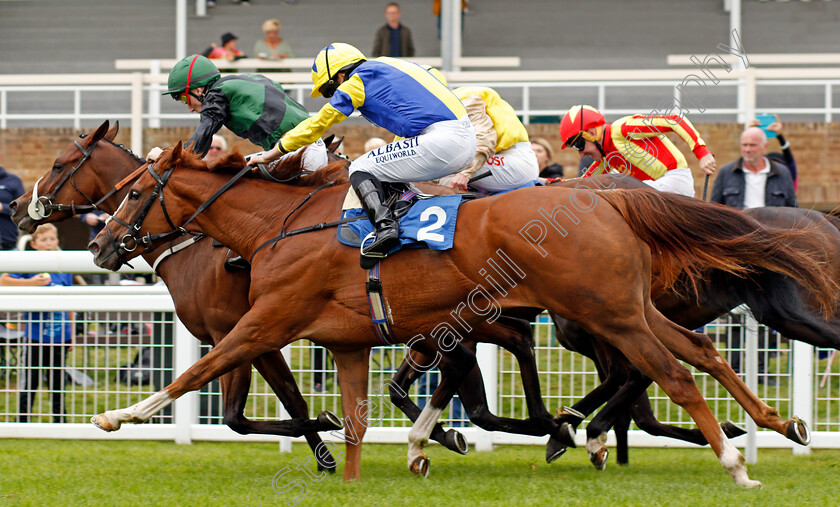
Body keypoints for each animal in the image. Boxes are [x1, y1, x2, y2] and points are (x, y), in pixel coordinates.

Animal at [6, 121, 342, 474]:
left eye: (58, 164)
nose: (15, 206)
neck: (186, 244)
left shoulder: (236, 331)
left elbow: (236, 417)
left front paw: (329, 429)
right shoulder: (258, 338)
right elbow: (292, 402)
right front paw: (326, 459)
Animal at [85, 144, 832, 488]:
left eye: (132, 194)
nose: (99, 244)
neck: (279, 226)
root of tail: (608, 195)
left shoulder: (268, 322)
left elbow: (198, 371)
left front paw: (118, 416)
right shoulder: (350, 340)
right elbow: (356, 419)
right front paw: (368, 463)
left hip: (604, 313)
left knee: (669, 375)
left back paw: (729, 460)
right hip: (629, 304)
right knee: (700, 354)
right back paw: (775, 422)